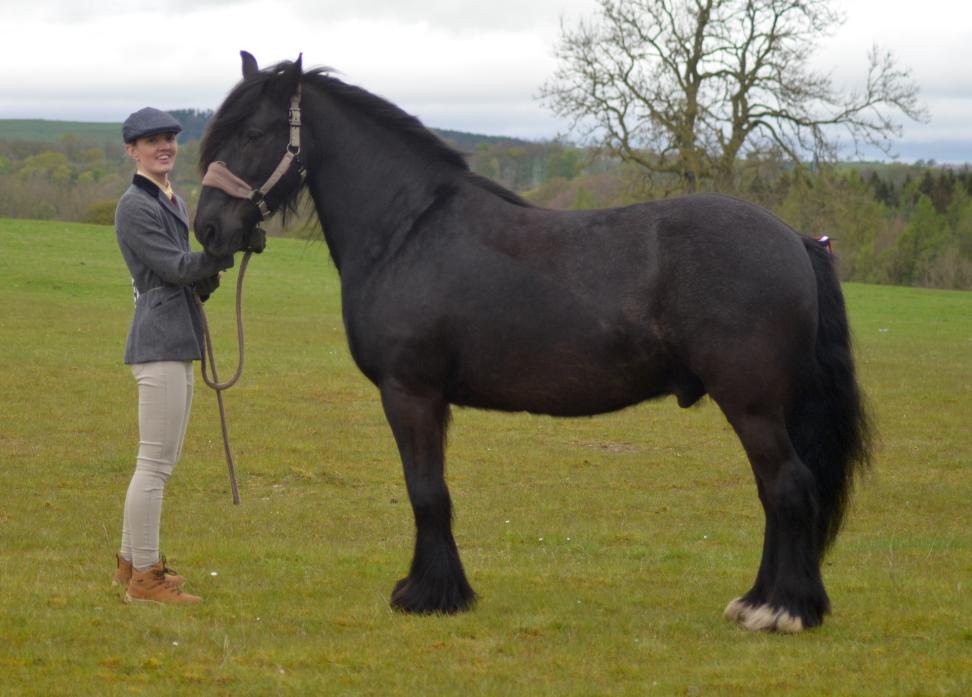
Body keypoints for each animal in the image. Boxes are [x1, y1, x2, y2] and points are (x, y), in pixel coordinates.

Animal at [194, 53, 868, 632]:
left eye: (253, 132)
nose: (208, 229)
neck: (408, 229)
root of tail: (796, 240)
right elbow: (431, 492)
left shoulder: (410, 392)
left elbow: (426, 492)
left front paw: (429, 595)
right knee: (775, 492)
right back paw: (761, 601)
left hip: (751, 403)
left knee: (787, 486)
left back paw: (782, 610)